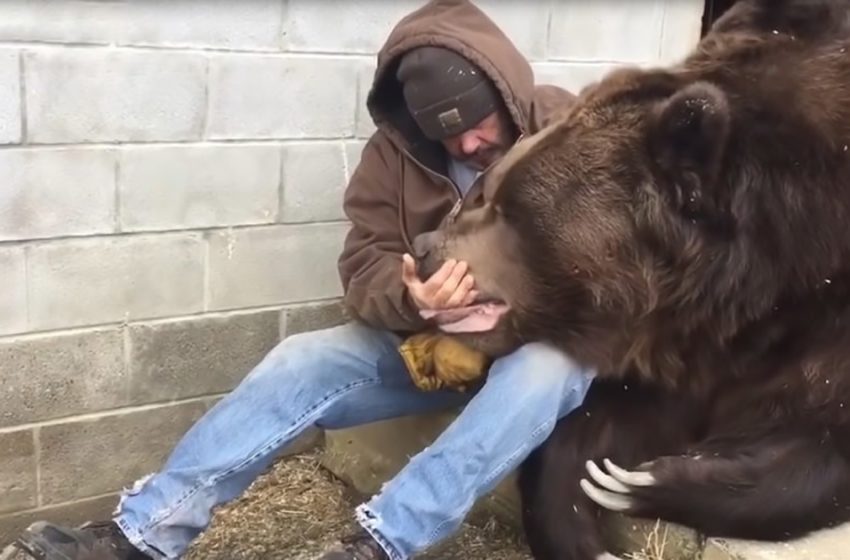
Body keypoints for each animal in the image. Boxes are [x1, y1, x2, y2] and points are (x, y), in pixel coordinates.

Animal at [410, 0, 850, 556]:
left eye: (509, 208)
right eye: (490, 190)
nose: (424, 246)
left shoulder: (819, 321)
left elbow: (816, 438)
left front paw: (646, 480)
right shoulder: (682, 337)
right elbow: (603, 423)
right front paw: (589, 505)